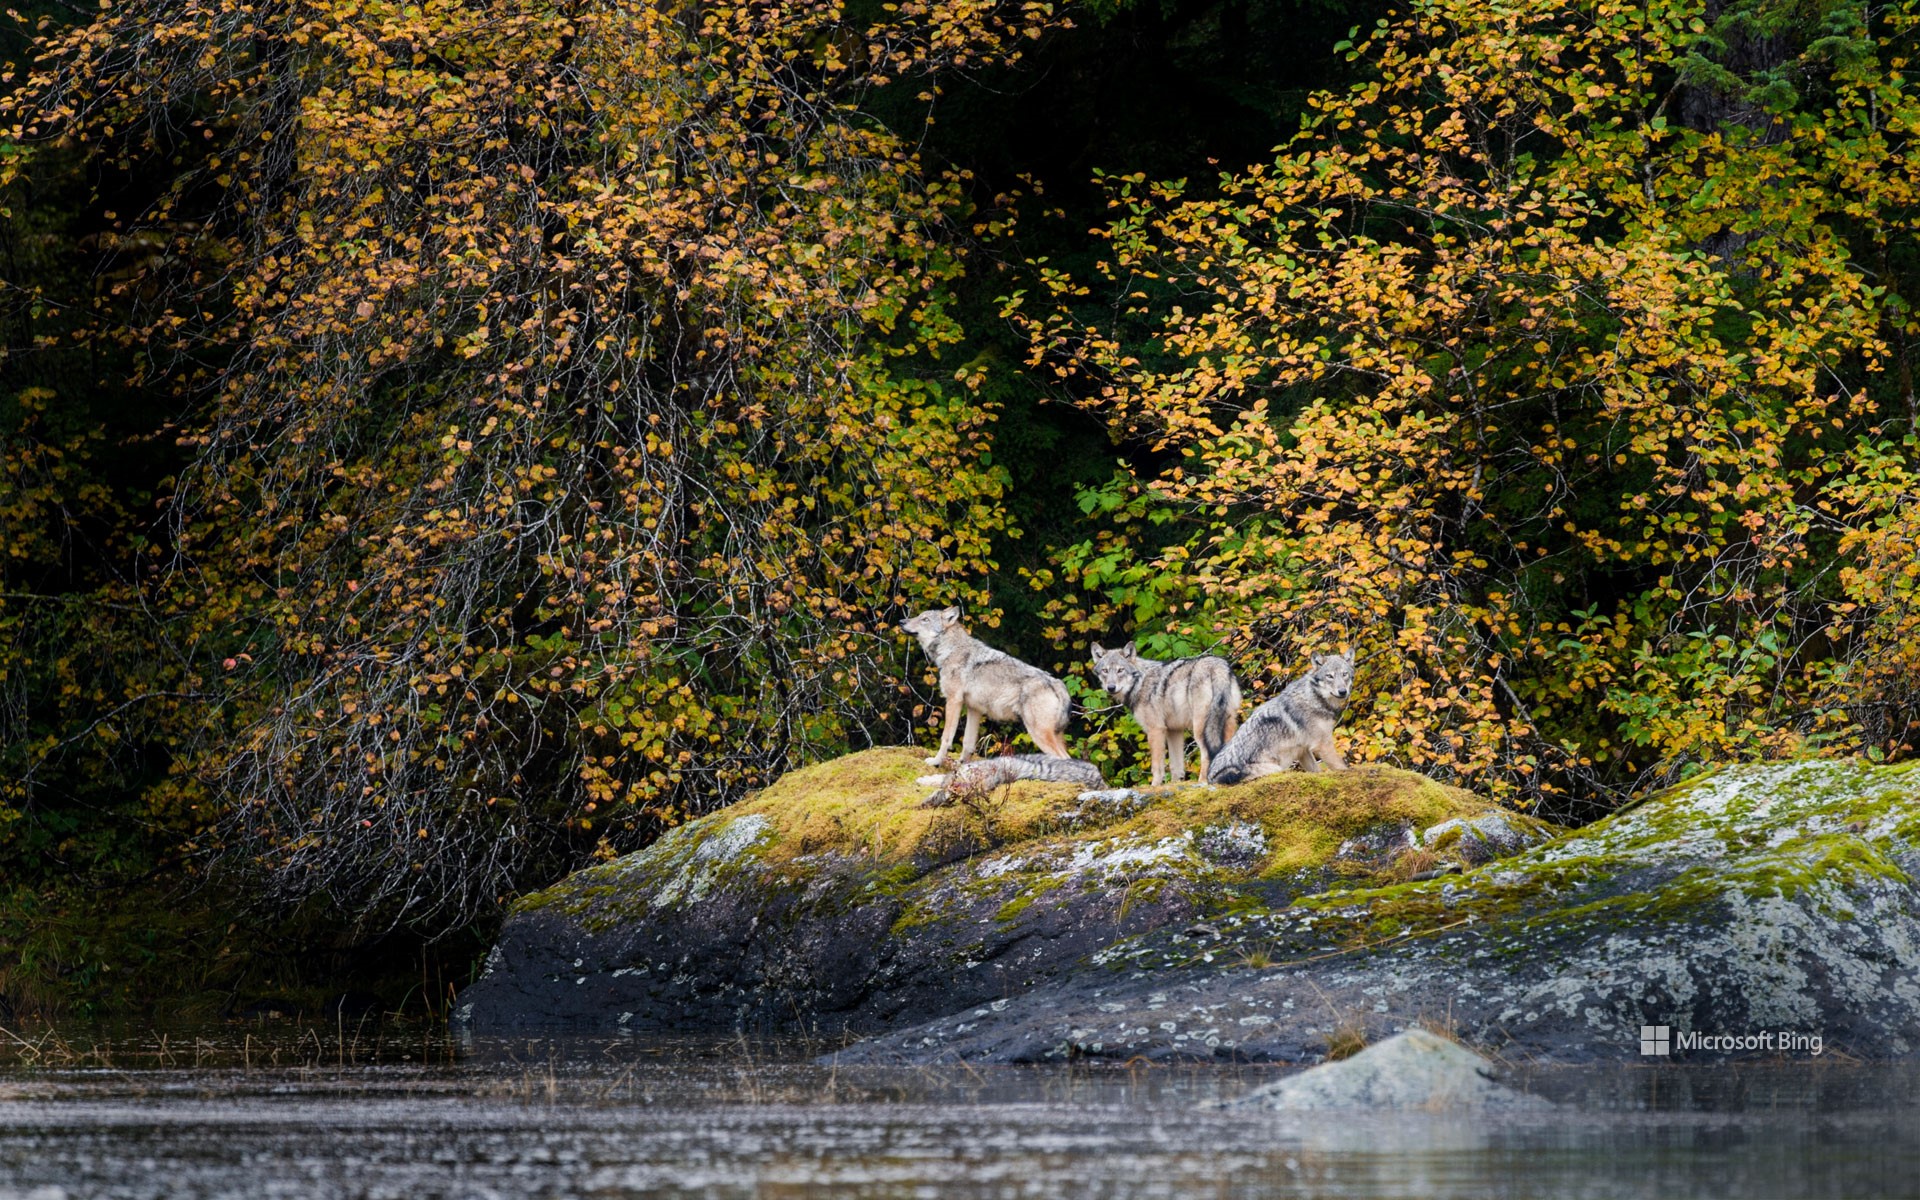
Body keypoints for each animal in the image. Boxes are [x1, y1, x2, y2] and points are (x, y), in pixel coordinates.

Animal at [894, 606, 1075, 768]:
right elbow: (968, 743)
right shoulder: (974, 709)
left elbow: (946, 737)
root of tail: (1057, 683)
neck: (951, 650)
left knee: (1063, 759)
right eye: (919, 616)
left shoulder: (953, 701)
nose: (901, 621)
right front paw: (961, 766)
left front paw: (936, 762)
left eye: (924, 619)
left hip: (1038, 733)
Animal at [1082, 645, 1244, 787]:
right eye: (1105, 671)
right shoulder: (1174, 731)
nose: (1111, 687)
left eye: (1120, 670)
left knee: (1205, 754)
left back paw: (1202, 781)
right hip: (1227, 723)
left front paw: (1155, 785)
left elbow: (1157, 766)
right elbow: (1176, 766)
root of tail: (1218, 666)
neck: (1139, 682)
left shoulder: (1156, 730)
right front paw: (1175, 784)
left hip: (1200, 729)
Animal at [1205, 648, 1359, 783]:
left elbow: (1316, 771)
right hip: (1276, 768)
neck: (1314, 697)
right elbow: (1340, 767)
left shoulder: (1303, 750)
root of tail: (1211, 779)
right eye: (1330, 676)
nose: (1342, 691)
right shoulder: (1322, 745)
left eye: (1344, 674)